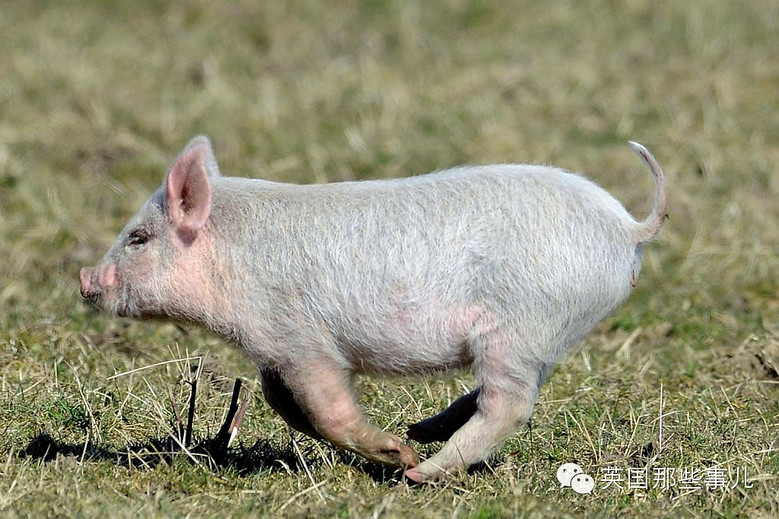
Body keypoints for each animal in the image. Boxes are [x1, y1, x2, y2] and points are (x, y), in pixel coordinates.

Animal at [80, 135, 672, 484]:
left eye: (137, 238)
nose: (85, 280)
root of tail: (629, 226)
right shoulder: (272, 349)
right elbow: (284, 403)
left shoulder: (297, 335)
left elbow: (324, 404)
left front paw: (395, 456)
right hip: (545, 332)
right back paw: (422, 429)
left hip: (519, 325)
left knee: (509, 404)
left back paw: (420, 470)